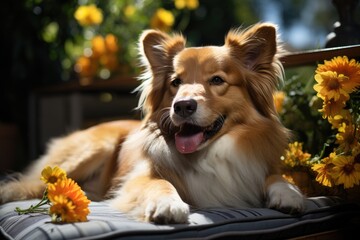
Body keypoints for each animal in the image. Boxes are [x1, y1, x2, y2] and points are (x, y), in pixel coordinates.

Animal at [0, 22, 304, 223]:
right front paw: (168, 205)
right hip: (88, 152)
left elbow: (278, 177)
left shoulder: (260, 166)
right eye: (175, 83)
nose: (182, 106)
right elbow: (160, 184)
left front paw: (290, 195)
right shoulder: (138, 177)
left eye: (217, 80)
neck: (210, 153)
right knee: (28, 183)